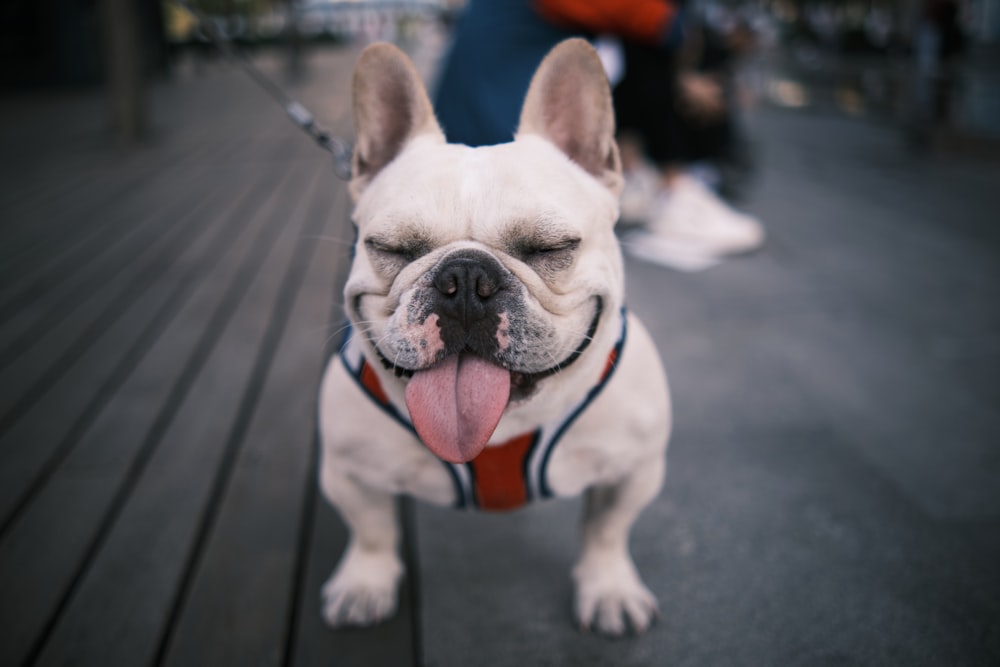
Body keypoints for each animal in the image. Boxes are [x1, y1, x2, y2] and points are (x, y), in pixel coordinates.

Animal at [316, 37, 668, 636]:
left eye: (550, 248)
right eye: (392, 248)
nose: (464, 280)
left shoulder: (634, 470)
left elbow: (607, 530)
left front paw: (609, 589)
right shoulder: (347, 471)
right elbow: (372, 530)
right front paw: (365, 582)